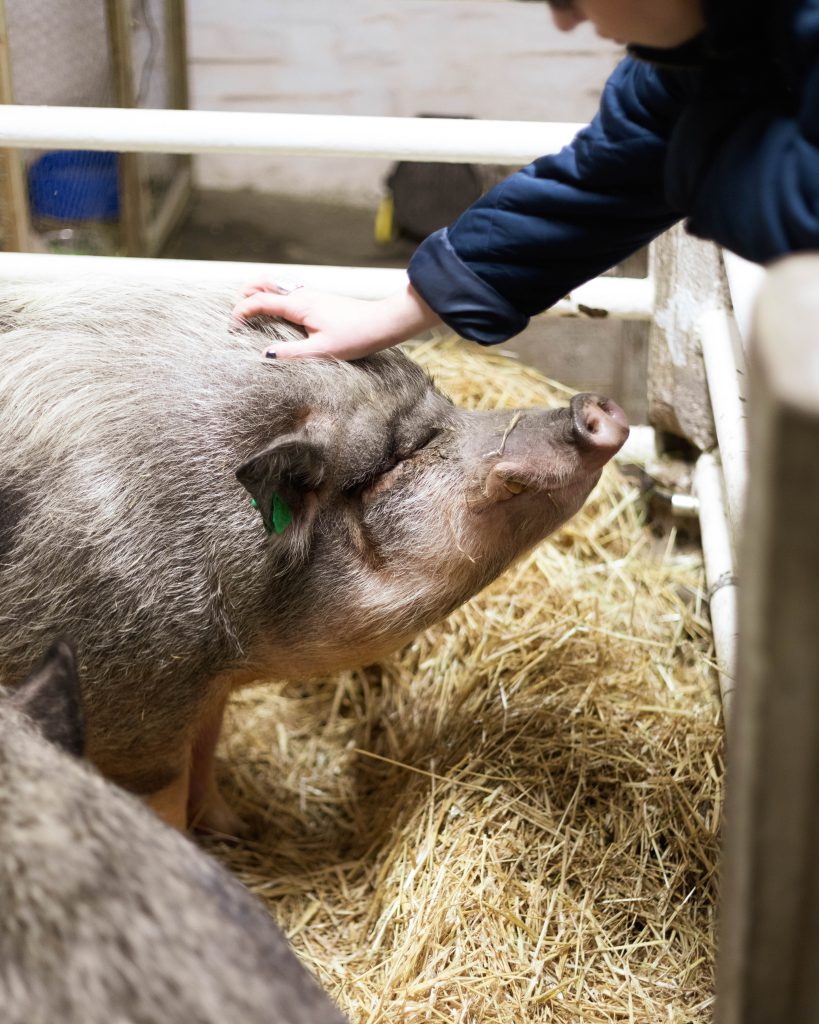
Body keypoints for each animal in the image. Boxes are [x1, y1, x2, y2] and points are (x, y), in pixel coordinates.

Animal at [0, 280, 626, 831]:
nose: (594, 409)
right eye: (401, 456)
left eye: (446, 406)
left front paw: (240, 829)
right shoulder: (134, 706)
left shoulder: (204, 692)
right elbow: (166, 803)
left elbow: (207, 750)